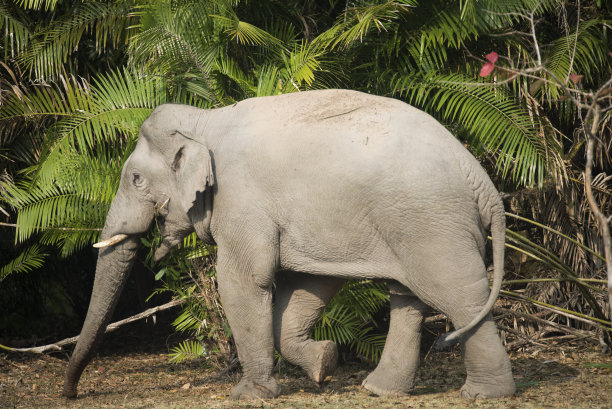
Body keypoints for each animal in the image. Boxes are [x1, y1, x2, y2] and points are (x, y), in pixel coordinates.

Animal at [62, 88, 512, 398]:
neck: (205, 121)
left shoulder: (242, 200)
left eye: (136, 179)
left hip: (431, 223)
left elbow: (244, 282)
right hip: (413, 224)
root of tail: (482, 180)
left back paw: (483, 394)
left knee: (458, 296)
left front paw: (250, 396)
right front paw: (324, 363)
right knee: (407, 298)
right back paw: (379, 390)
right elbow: (307, 285)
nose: (71, 393)